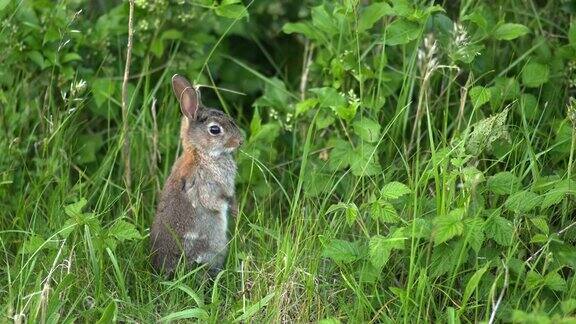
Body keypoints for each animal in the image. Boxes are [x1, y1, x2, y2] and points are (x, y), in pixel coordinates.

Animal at [151, 74, 243, 276]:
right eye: (215, 130)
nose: (240, 141)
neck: (200, 153)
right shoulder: (210, 184)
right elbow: (216, 200)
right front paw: (234, 211)